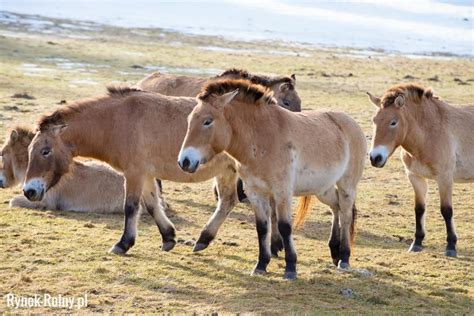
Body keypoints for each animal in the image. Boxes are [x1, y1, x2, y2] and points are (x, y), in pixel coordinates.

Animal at [21, 87, 241, 256]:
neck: (117, 121)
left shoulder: (134, 174)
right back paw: (204, 239)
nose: (29, 191)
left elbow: (131, 207)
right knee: (227, 202)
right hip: (227, 172)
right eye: (30, 150)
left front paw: (123, 244)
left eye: (45, 151)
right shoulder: (147, 175)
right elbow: (152, 205)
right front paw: (168, 237)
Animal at [179, 80, 366, 280]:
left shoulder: (282, 192)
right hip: (323, 189)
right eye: (189, 121)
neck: (262, 138)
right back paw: (334, 250)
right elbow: (262, 227)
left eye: (207, 121)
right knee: (336, 207)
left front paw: (290, 268)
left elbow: (284, 226)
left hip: (347, 185)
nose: (185, 161)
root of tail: (351, 123)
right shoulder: (255, 192)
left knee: (346, 215)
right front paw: (261, 265)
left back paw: (344, 257)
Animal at [366, 83, 474, 256]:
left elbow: (446, 210)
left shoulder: (444, 178)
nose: (375, 158)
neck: (429, 134)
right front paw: (417, 243)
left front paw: (451, 246)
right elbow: (419, 209)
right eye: (374, 121)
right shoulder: (415, 177)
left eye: (393, 122)